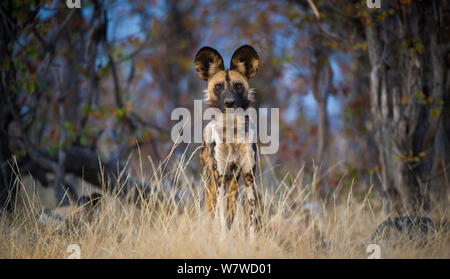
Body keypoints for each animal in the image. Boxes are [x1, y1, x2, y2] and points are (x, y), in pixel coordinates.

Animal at [193, 44, 260, 236]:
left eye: (238, 85)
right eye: (218, 86)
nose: (230, 103)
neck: (233, 134)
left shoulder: (249, 179)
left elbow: (252, 221)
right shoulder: (220, 180)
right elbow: (221, 221)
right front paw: (222, 240)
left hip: (234, 189)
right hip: (212, 188)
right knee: (216, 214)